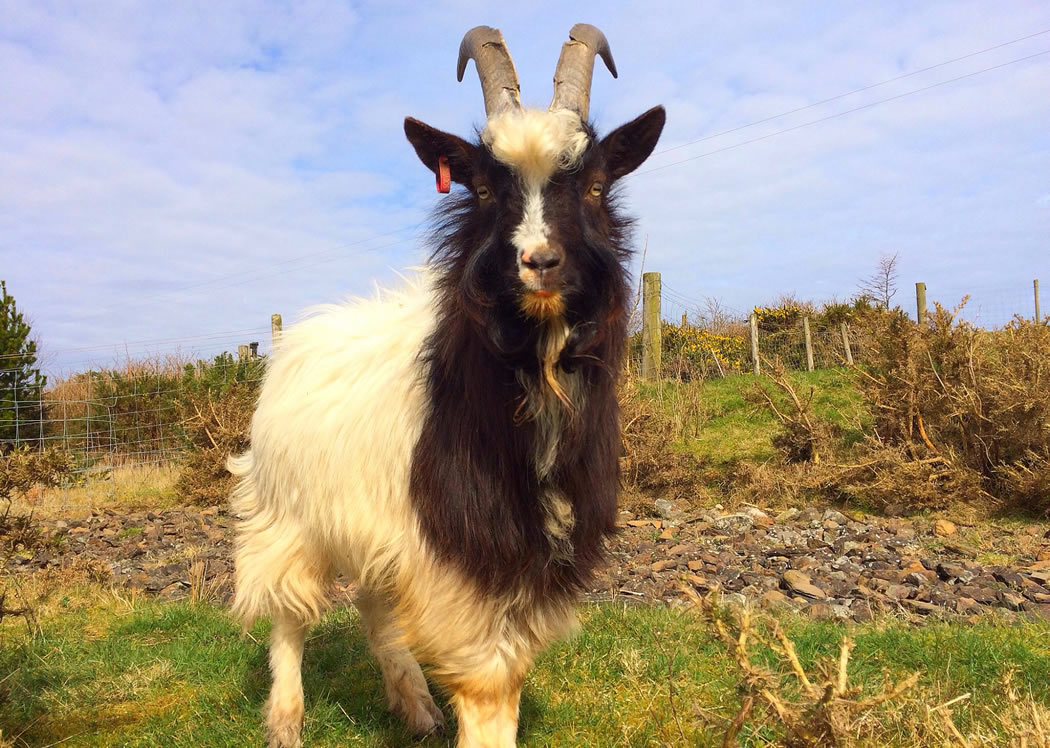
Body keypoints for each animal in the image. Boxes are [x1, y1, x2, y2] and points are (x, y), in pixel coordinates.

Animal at [232, 24, 663, 748]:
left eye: (597, 184)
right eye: (485, 190)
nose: (540, 261)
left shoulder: (529, 550)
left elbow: (507, 675)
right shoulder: (457, 549)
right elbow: (487, 683)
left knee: (375, 605)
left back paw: (413, 704)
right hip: (288, 511)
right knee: (288, 609)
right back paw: (287, 719)